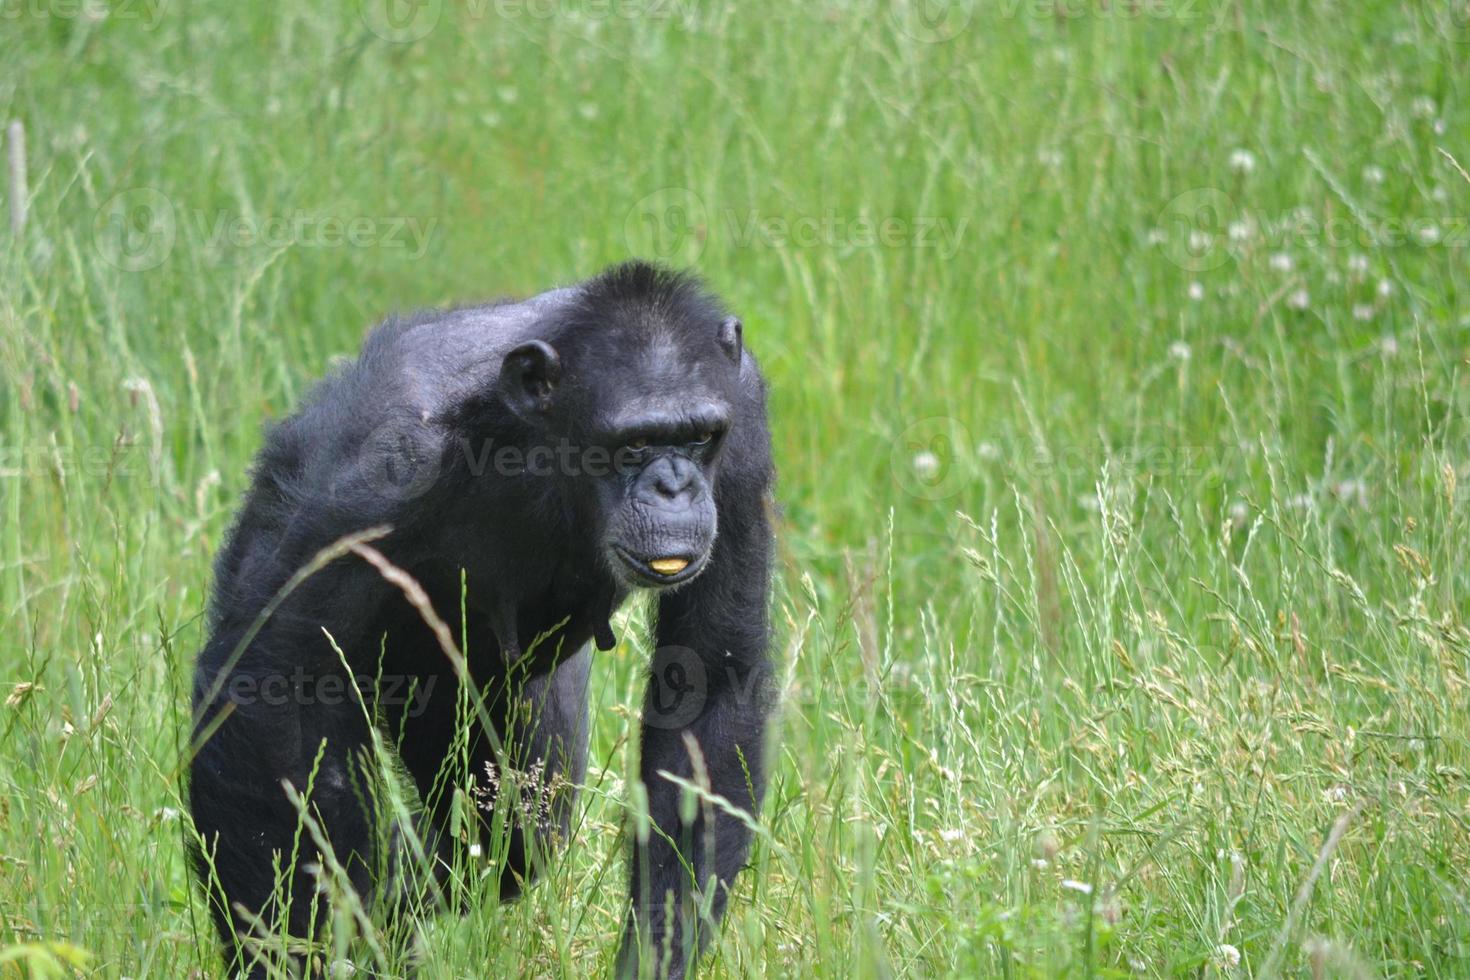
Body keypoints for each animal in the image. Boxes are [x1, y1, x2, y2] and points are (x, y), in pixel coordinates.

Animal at [192, 262, 782, 980]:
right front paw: (287, 951)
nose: (674, 485)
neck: (537, 441)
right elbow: (271, 686)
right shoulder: (377, 468)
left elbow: (712, 681)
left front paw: (657, 953)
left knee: (517, 834)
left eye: (698, 438)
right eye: (634, 444)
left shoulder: (743, 423)